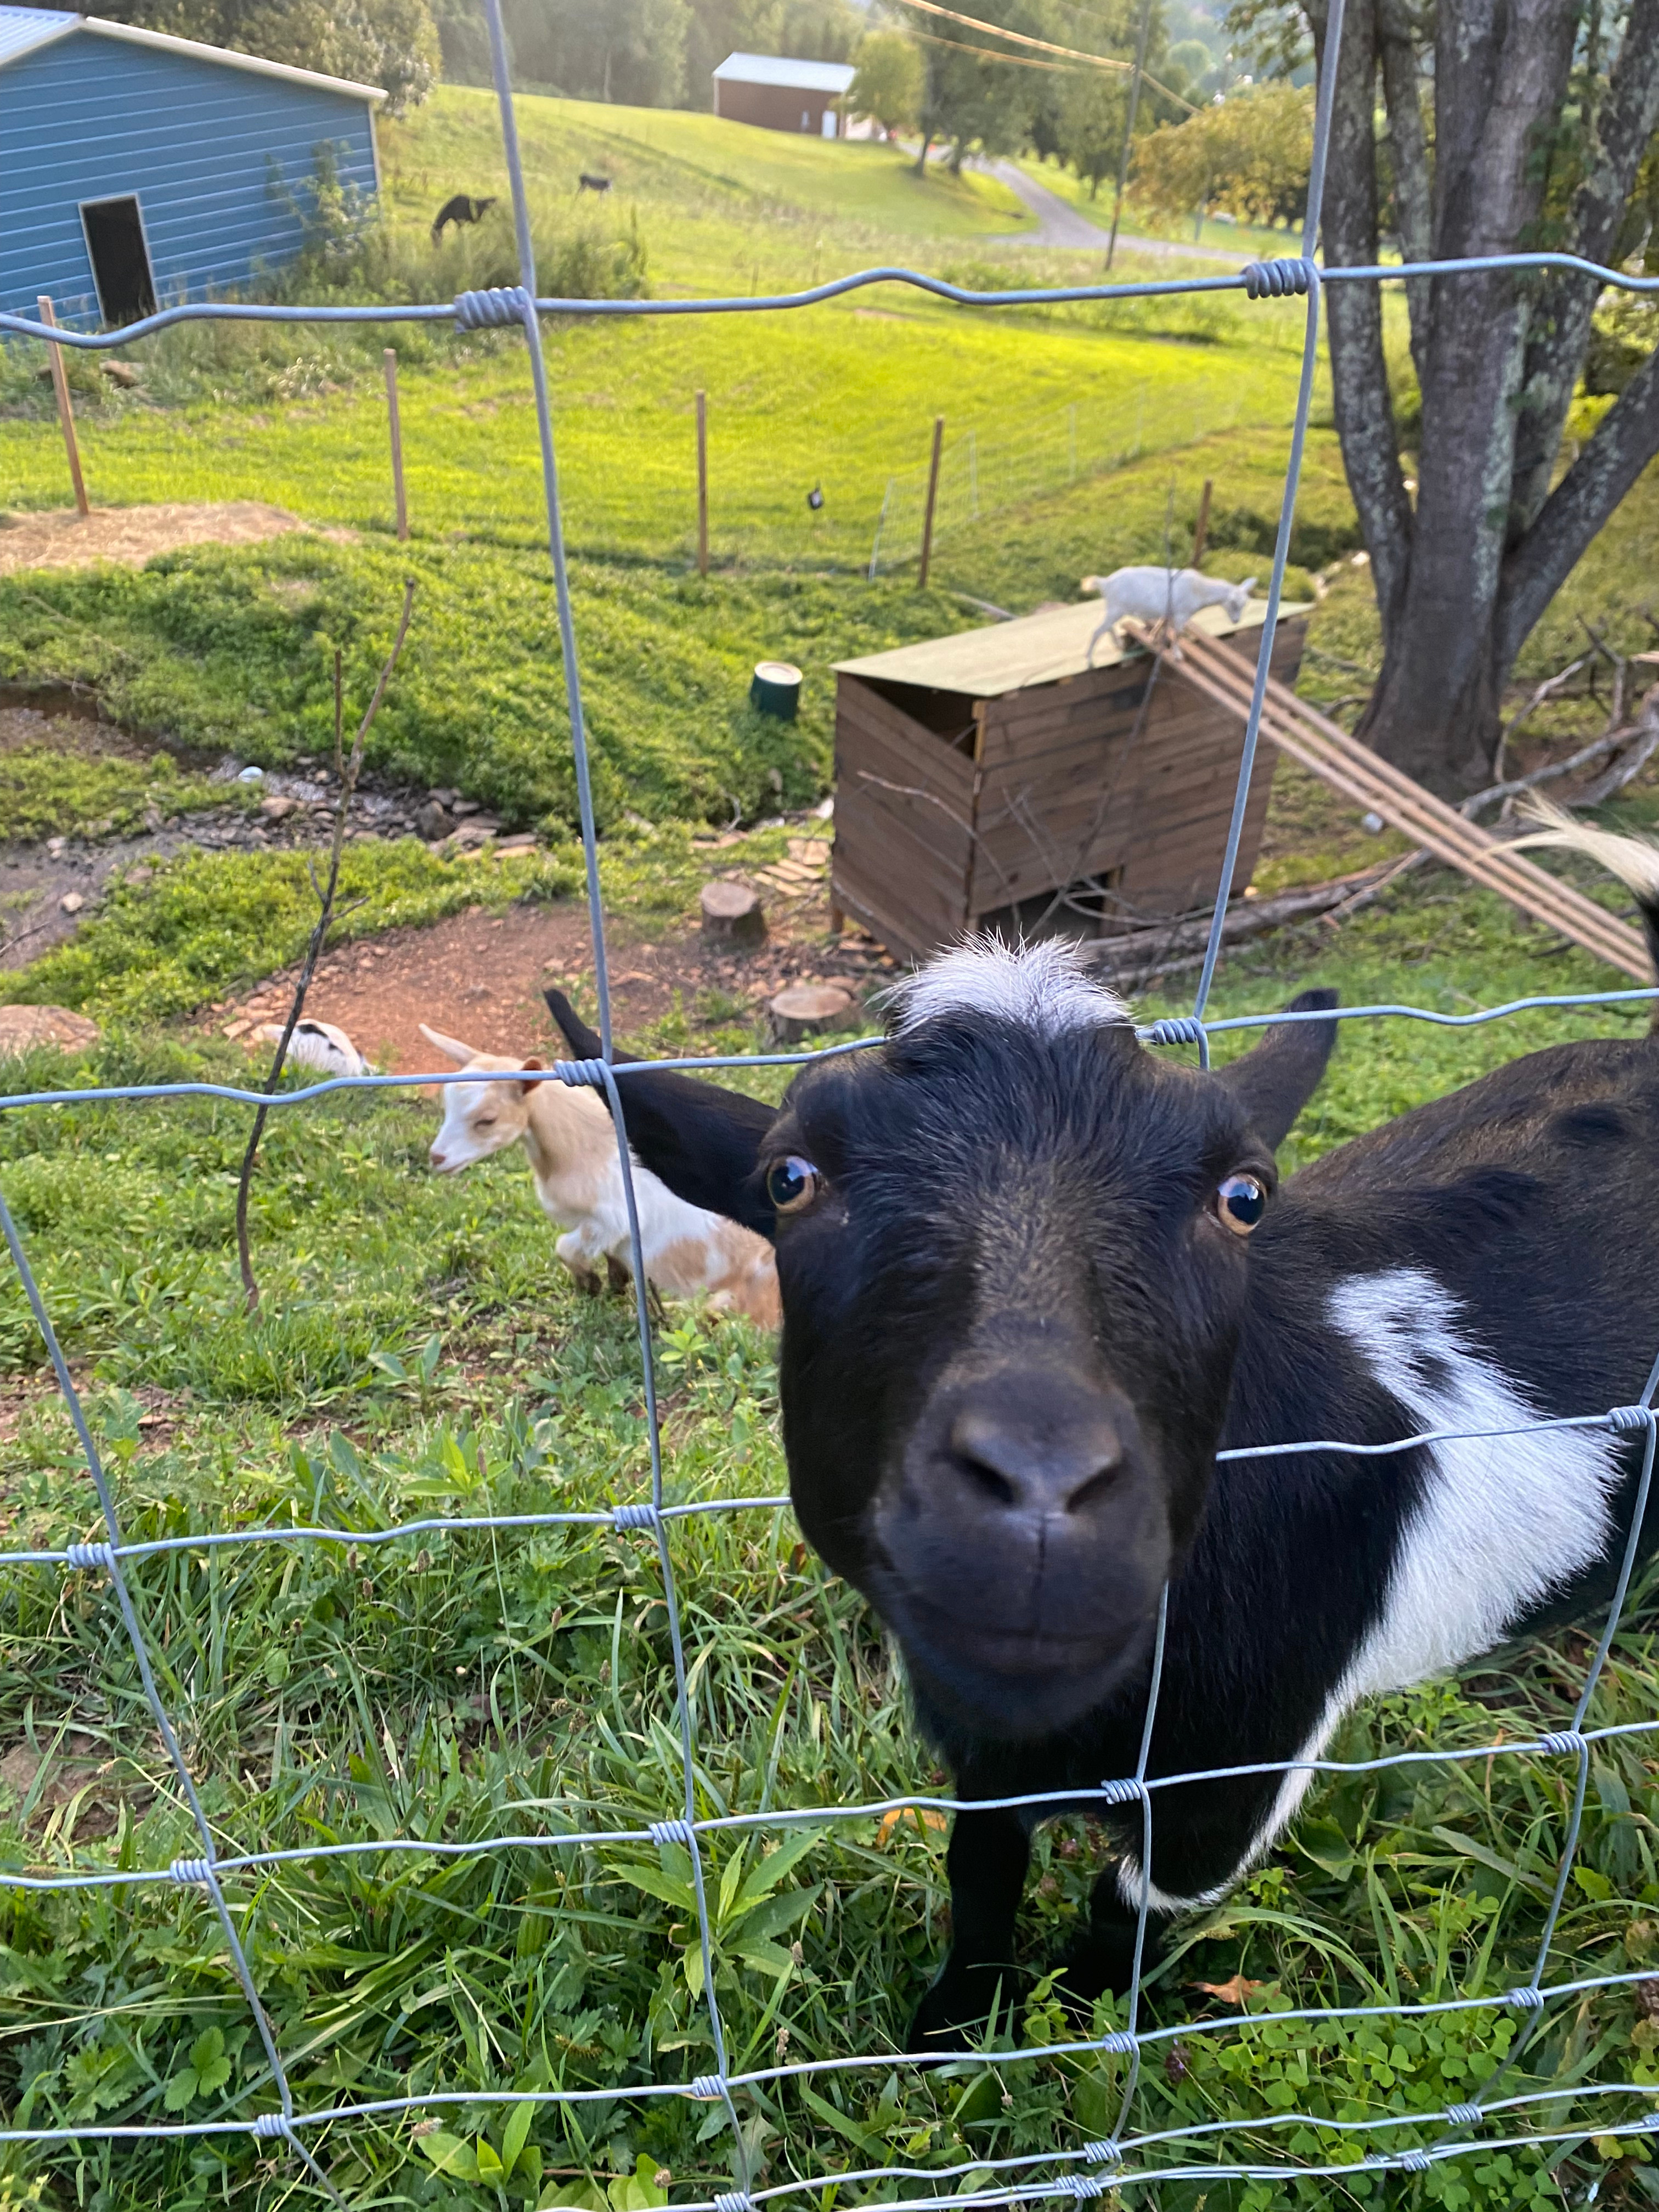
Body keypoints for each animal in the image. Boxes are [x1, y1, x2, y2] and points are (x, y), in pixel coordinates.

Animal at [420, 1024, 779, 1325]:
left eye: (488, 1120)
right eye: (446, 1107)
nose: (437, 1158)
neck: (584, 1149)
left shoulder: (610, 1218)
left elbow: (565, 1247)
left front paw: (589, 1285)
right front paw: (616, 1283)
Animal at [554, 838, 1659, 2049]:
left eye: (1244, 1195)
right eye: (788, 1180)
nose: (1040, 1496)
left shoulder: (1231, 1781)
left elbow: (1125, 1903)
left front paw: (1083, 2018)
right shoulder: (979, 1750)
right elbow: (979, 1867)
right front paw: (950, 2031)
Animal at [1080, 565, 1257, 664]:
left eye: (1244, 604)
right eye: (1234, 603)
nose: (1236, 621)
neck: (1199, 590)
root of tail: (1105, 583)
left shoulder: (1170, 612)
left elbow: (1162, 623)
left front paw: (1153, 637)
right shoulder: (1181, 615)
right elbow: (1177, 634)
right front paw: (1177, 656)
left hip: (1114, 609)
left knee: (1106, 627)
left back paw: (1117, 643)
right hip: (1117, 608)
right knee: (1098, 630)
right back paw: (1089, 658)